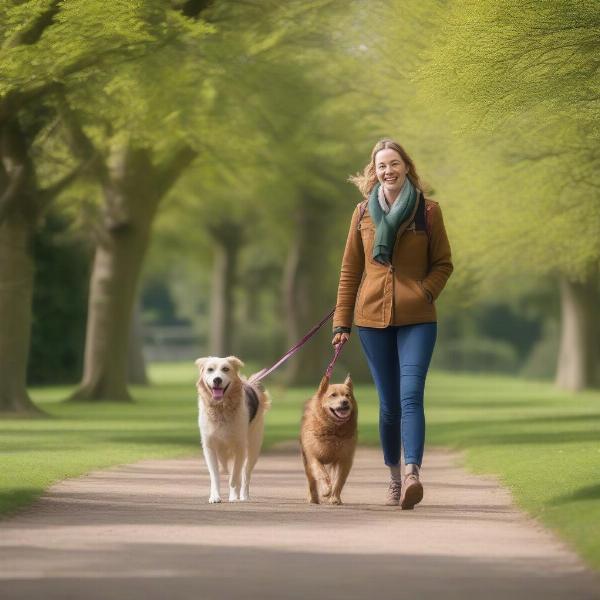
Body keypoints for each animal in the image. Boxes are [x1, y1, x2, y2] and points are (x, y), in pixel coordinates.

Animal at [195, 356, 270, 502]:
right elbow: (215, 475)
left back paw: (244, 496)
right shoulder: (209, 446)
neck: (221, 408)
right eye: (210, 369)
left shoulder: (240, 446)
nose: (217, 379)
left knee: (245, 474)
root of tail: (250, 384)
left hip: (254, 446)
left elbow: (235, 476)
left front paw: (234, 496)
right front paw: (215, 496)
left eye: (226, 369)